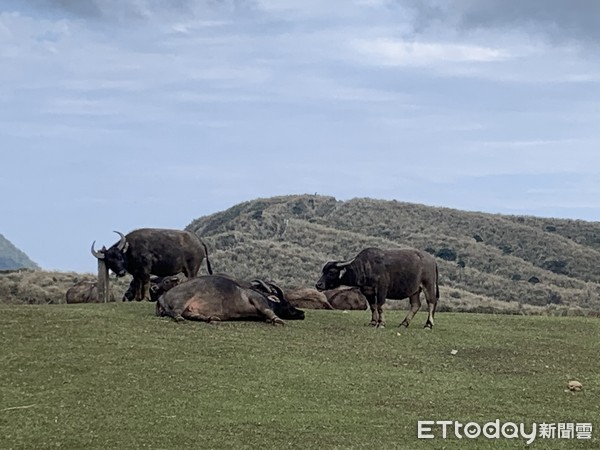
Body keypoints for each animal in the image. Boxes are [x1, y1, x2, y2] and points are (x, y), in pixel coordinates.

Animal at [156, 274, 304, 324]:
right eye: (287, 303)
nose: (302, 313)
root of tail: (162, 297)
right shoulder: (256, 299)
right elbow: (268, 311)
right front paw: (277, 319)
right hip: (182, 300)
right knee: (175, 312)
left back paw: (211, 318)